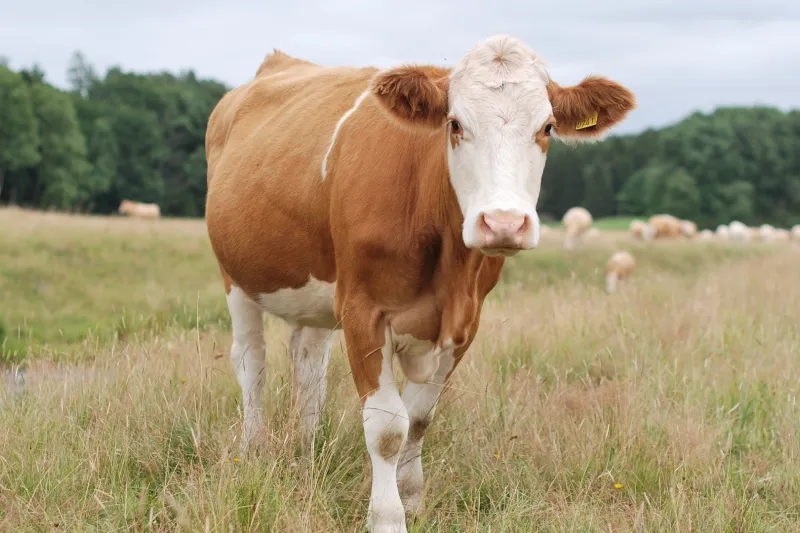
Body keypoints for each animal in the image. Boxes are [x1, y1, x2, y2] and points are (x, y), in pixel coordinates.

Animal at [204, 35, 635, 532]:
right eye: (455, 124)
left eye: (547, 127)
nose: (503, 223)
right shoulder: (363, 312)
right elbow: (388, 427)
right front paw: (388, 517)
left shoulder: (466, 320)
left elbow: (420, 416)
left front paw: (411, 497)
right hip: (235, 277)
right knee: (251, 362)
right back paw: (252, 451)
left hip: (315, 290)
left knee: (308, 362)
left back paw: (307, 453)